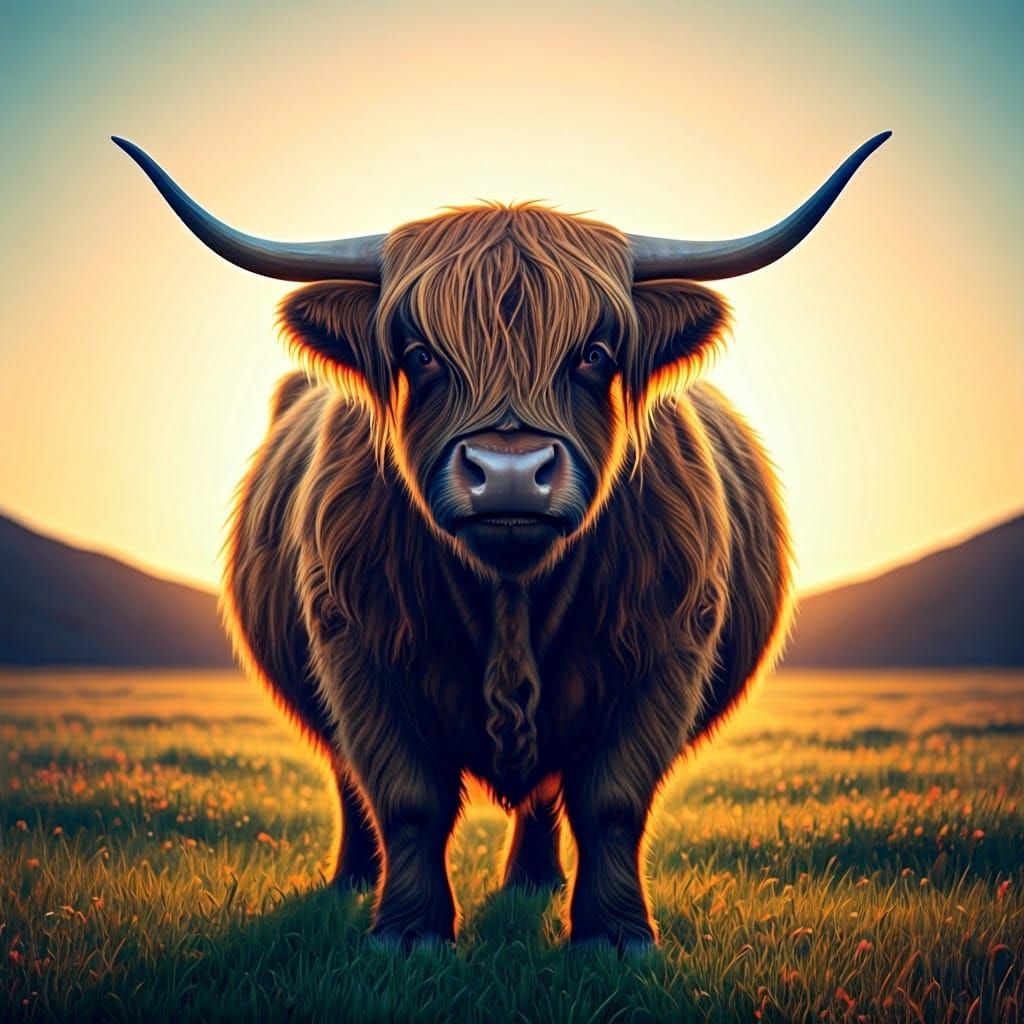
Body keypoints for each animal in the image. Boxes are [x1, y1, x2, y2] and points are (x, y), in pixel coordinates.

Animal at [115, 132, 889, 951]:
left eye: (594, 352)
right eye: (420, 353)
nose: (511, 474)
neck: (511, 594)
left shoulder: (665, 652)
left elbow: (611, 800)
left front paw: (615, 937)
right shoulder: (359, 652)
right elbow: (407, 799)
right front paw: (409, 933)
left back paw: (532, 882)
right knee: (351, 783)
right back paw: (353, 881)